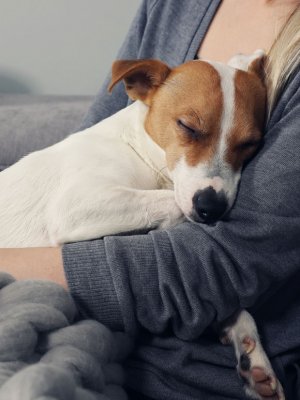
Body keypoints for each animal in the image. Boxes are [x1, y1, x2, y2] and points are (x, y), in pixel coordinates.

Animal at [0, 51, 284, 398]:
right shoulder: (76, 204)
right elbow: (171, 204)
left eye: (249, 143)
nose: (211, 208)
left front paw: (250, 348)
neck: (140, 152)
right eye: (187, 126)